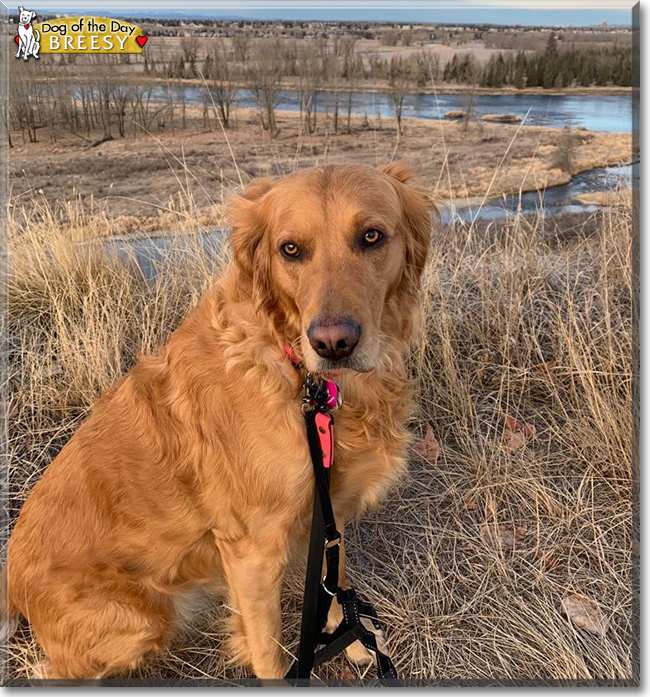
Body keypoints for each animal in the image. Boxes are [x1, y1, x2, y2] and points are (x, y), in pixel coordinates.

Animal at [5, 162, 432, 680]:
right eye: (290, 249)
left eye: (372, 236)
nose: (333, 343)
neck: (299, 375)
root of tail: (11, 581)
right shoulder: (253, 550)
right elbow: (269, 650)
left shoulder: (330, 509)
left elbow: (335, 579)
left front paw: (352, 642)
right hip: (139, 621)